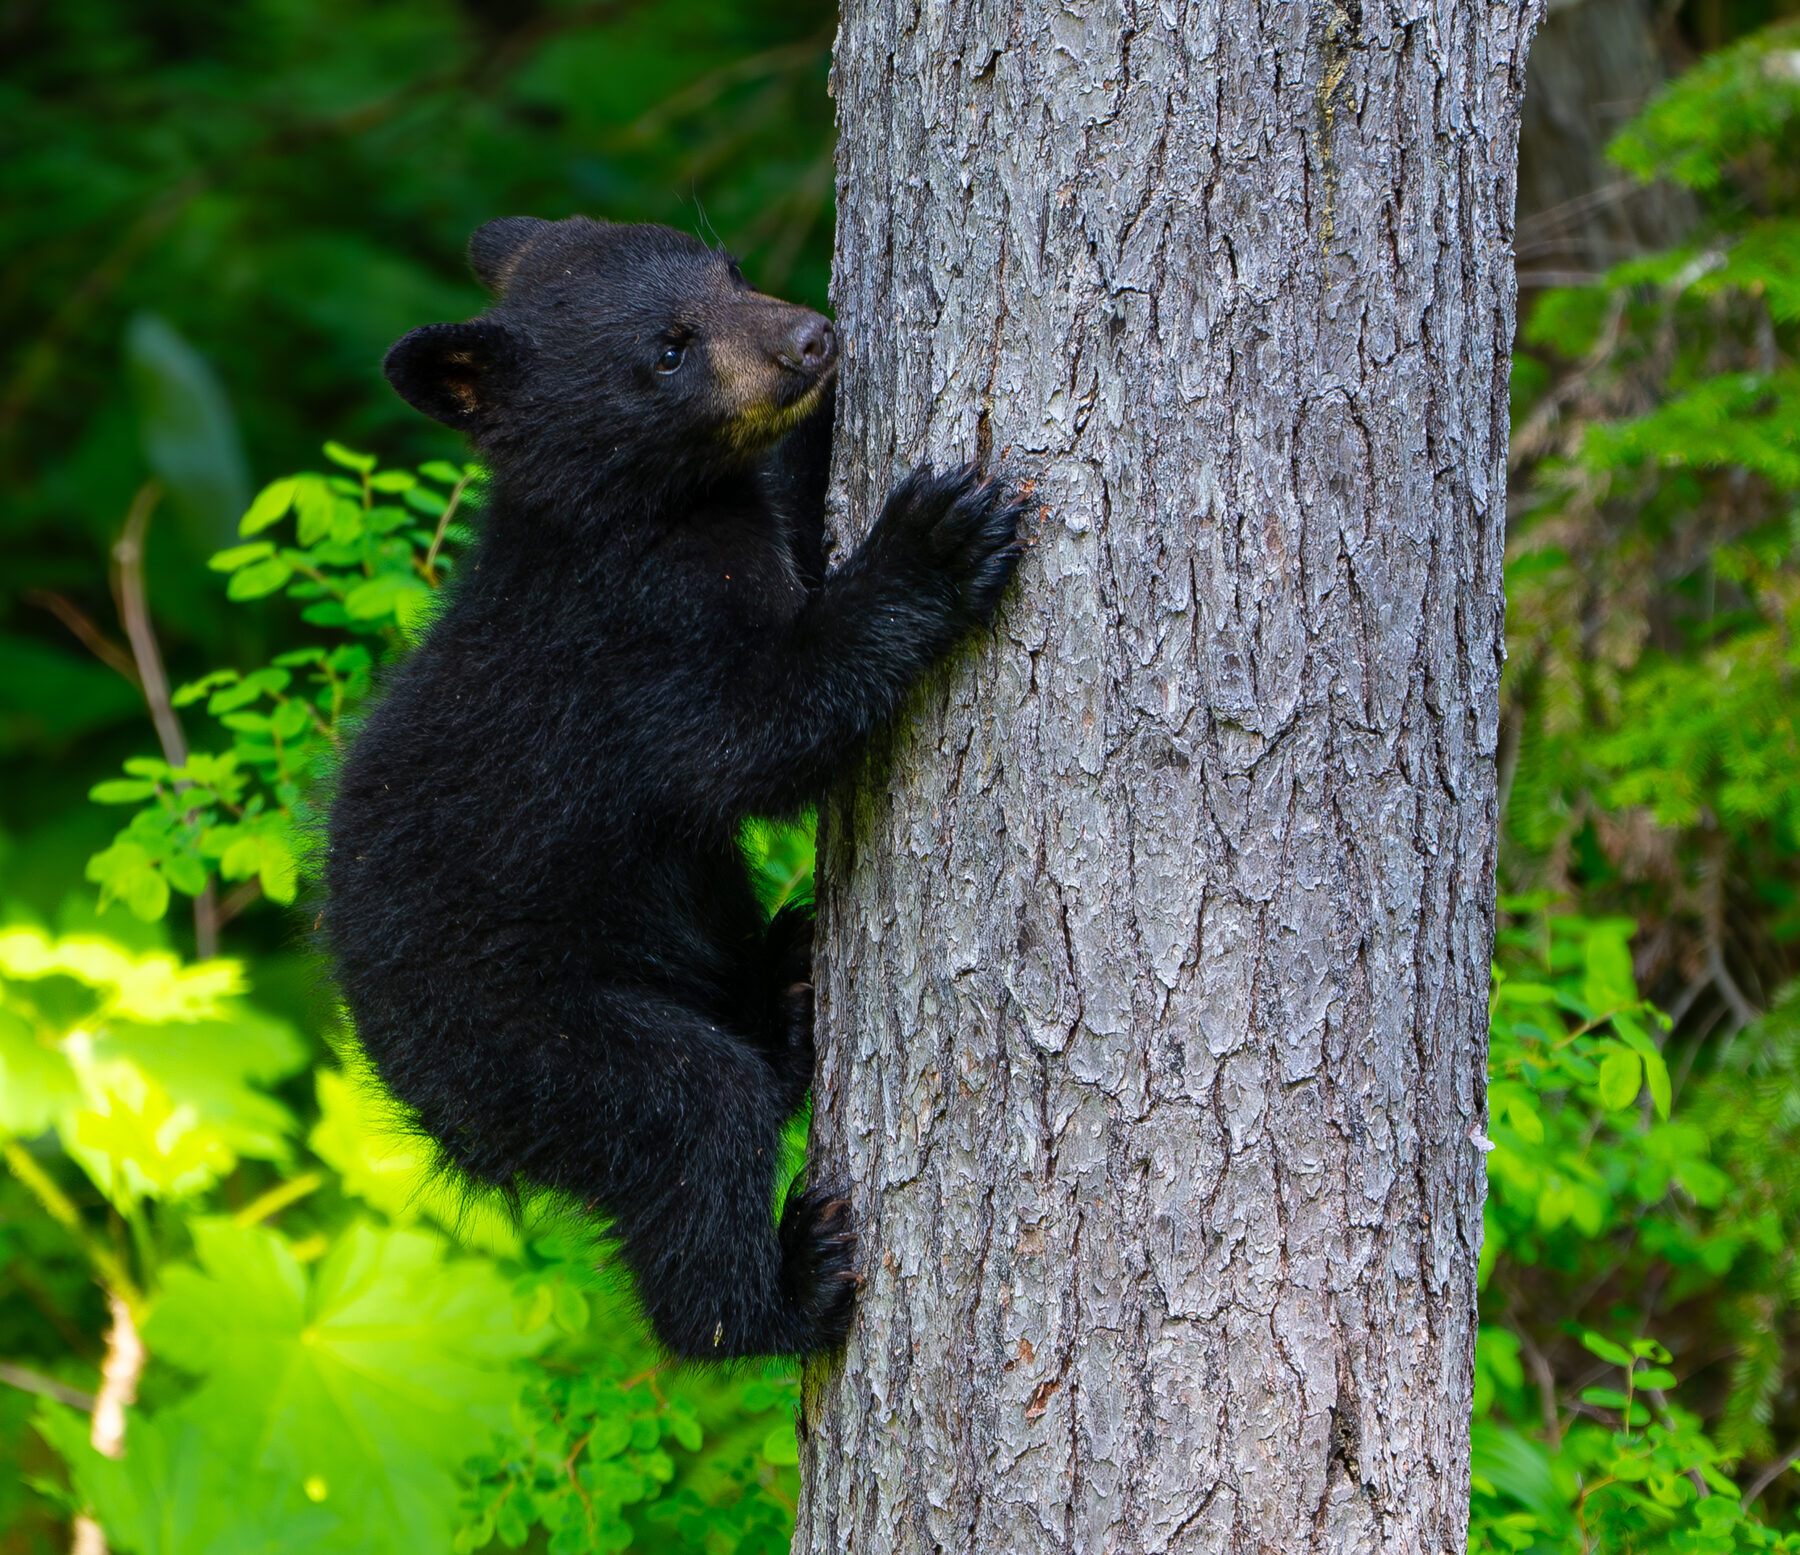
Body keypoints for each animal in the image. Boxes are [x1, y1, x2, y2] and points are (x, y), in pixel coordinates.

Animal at [324, 215, 1027, 1360]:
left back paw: (786, 993)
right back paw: (782, 1290)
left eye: (726, 270)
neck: (647, 513)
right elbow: (758, 735)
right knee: (694, 1119)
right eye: (667, 349)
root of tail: (431, 1119)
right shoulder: (633, 643)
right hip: (531, 1036)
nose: (809, 339)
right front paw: (934, 539)